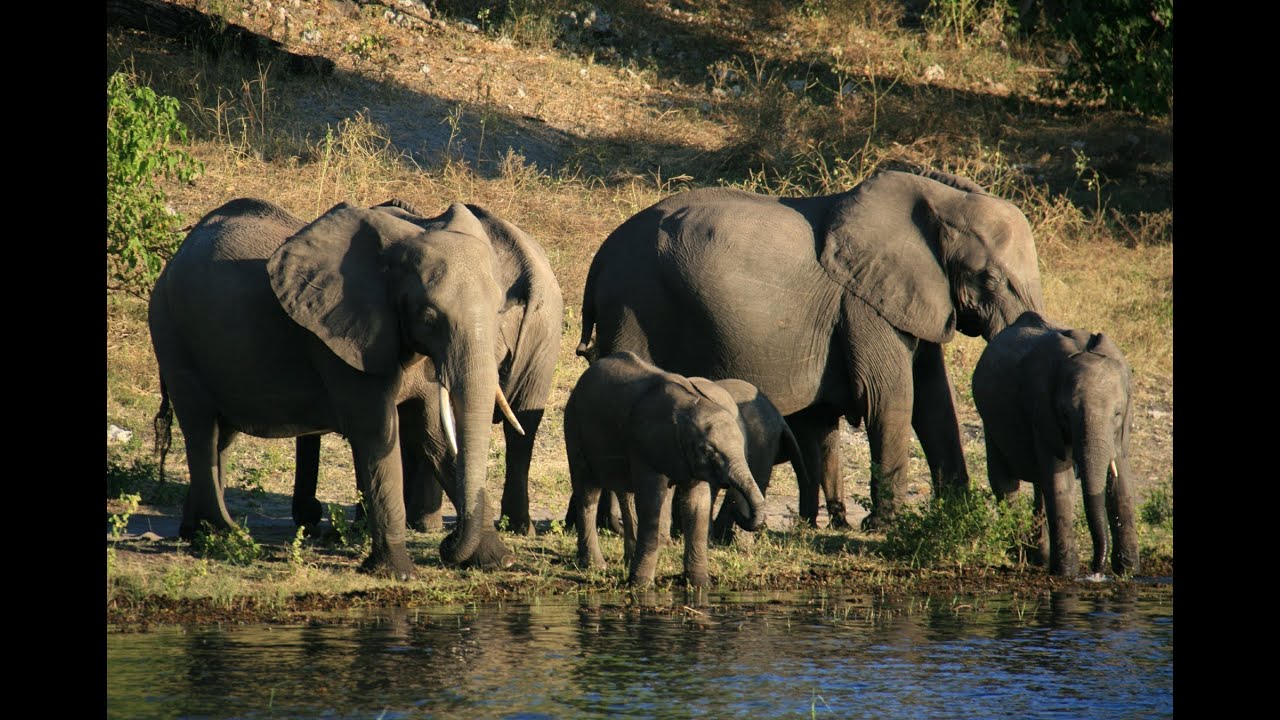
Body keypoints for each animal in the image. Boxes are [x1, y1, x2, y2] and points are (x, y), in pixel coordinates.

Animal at [151, 194, 529, 571]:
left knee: (222, 434)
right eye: (429, 317)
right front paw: (398, 573)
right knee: (201, 428)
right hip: (171, 332)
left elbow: (434, 434)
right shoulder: (341, 337)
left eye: (499, 312)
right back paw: (225, 534)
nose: (446, 545)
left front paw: (498, 561)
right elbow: (378, 433)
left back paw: (195, 532)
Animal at [565, 351, 762, 586]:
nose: (737, 509)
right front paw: (639, 585)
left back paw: (625, 558)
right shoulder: (647, 444)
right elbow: (652, 502)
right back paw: (595, 565)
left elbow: (697, 505)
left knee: (624, 492)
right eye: (708, 450)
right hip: (574, 425)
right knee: (588, 491)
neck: (689, 406)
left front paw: (701, 585)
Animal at [576, 167, 1044, 527]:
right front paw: (884, 526)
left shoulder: (910, 297)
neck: (939, 199)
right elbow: (889, 397)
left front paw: (958, 517)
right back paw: (615, 526)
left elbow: (933, 398)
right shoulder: (864, 305)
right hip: (634, 307)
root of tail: (599, 259)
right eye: (989, 279)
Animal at [967, 311, 1141, 573]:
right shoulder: (1041, 409)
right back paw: (1021, 557)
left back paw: (1039, 558)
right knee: (1005, 483)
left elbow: (1121, 482)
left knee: (1039, 485)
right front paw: (1067, 574)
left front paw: (1129, 572)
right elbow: (1061, 484)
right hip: (990, 422)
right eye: (1066, 414)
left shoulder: (1120, 431)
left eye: (1118, 413)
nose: (1096, 568)